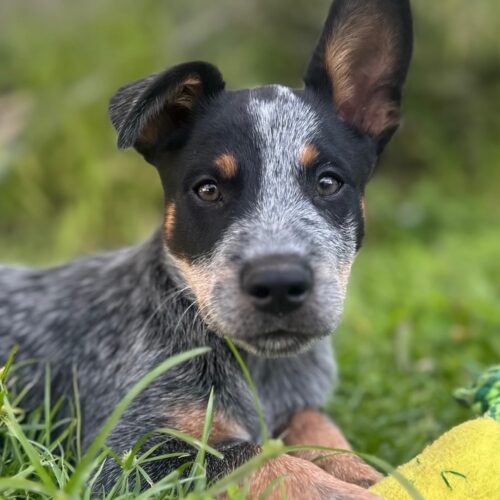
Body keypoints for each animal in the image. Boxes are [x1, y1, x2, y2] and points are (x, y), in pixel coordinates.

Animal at [0, 0, 412, 497]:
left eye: (329, 183)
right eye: (208, 189)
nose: (279, 282)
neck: (256, 370)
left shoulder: (298, 407)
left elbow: (322, 432)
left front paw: (372, 474)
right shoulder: (127, 455)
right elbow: (253, 456)